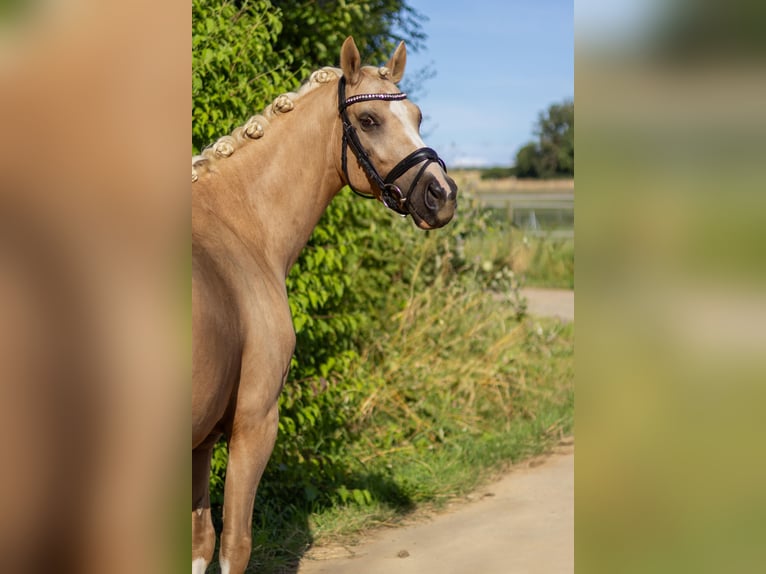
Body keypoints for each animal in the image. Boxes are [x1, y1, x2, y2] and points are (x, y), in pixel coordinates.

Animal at [194, 37, 456, 574]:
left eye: (418, 116)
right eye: (369, 120)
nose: (442, 195)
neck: (235, 223)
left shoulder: (201, 440)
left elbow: (201, 540)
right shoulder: (254, 422)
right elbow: (234, 544)